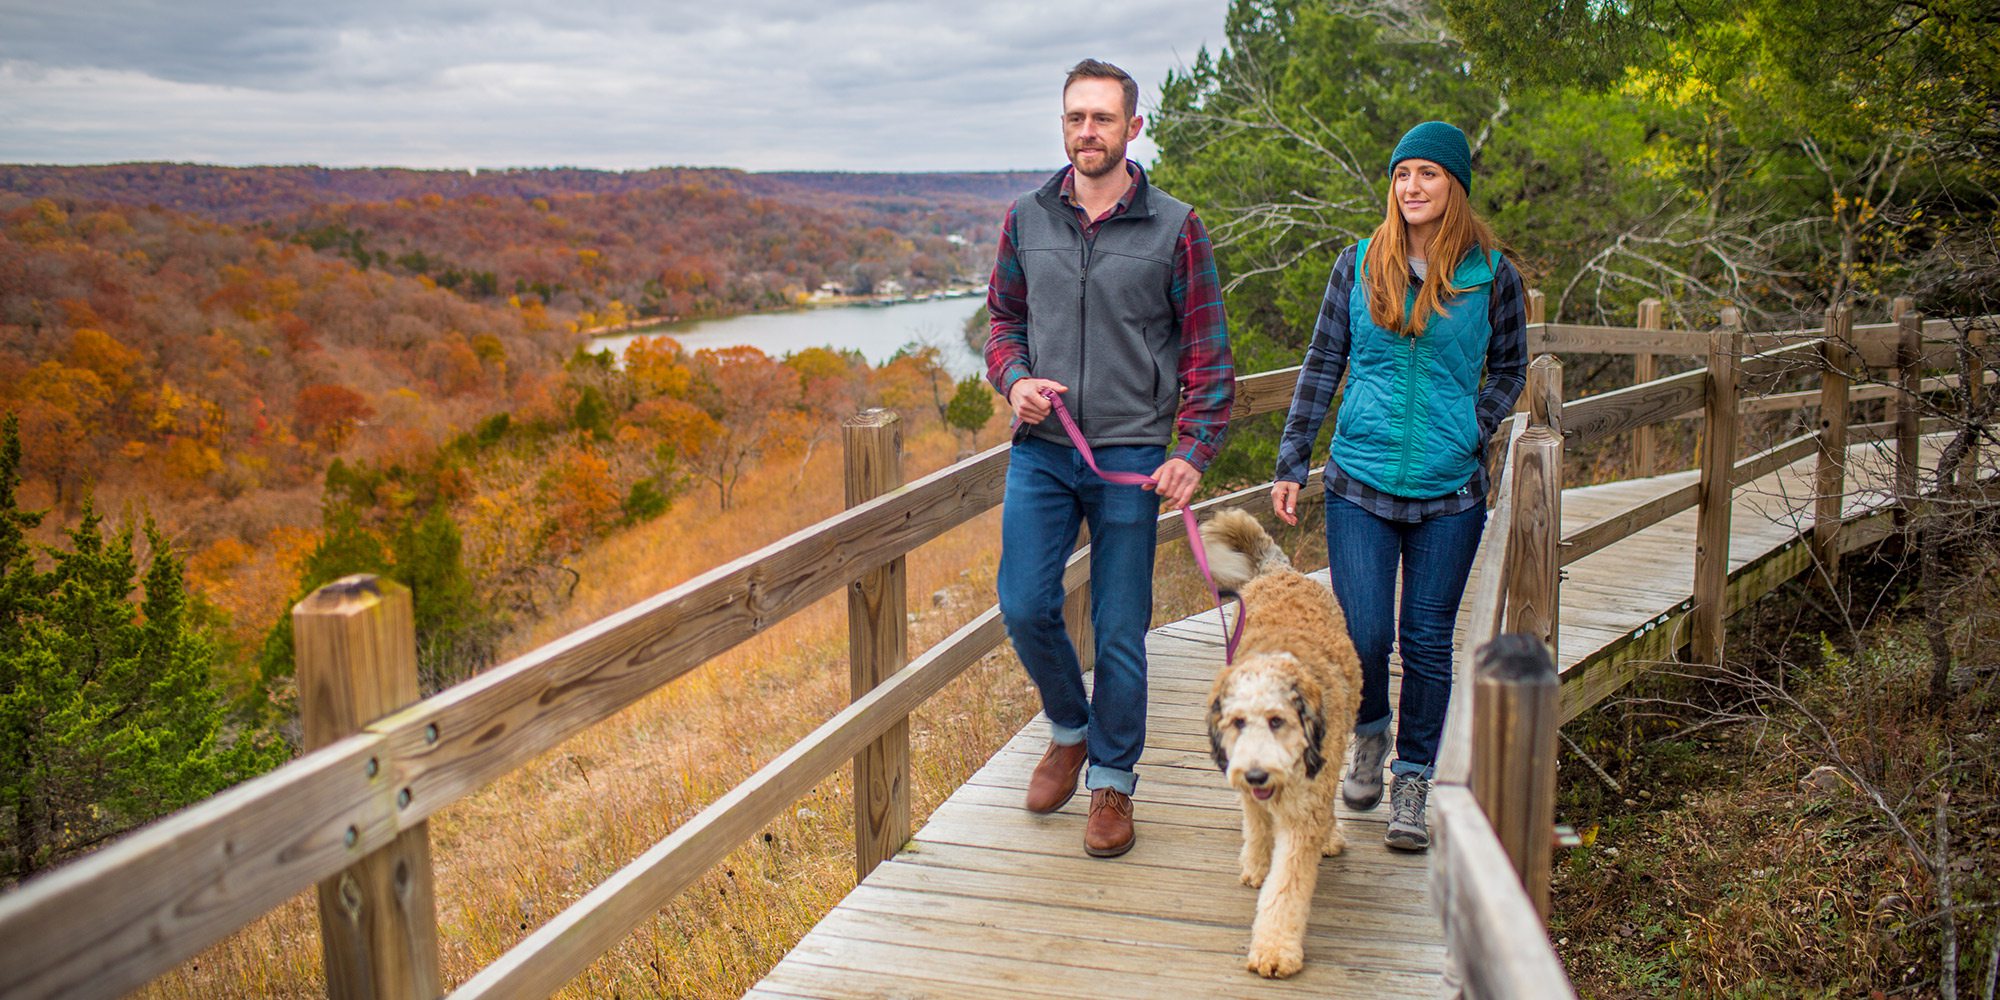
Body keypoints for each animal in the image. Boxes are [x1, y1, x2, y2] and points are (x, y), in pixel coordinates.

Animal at [1200, 512, 1360, 980]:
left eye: (1277, 721)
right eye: (1237, 722)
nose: (1256, 774)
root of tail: (1278, 570)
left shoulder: (1306, 805)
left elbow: (1287, 885)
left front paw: (1274, 948)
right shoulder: (1248, 784)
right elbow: (1255, 822)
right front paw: (1256, 863)